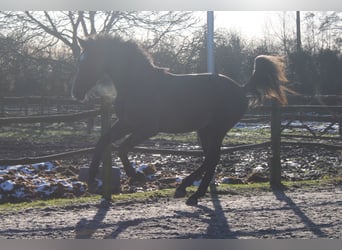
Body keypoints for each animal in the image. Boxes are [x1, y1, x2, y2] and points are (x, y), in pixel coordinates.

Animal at [72, 34, 292, 205]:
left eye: (89, 61)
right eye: (80, 61)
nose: (76, 93)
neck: (138, 83)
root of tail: (240, 89)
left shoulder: (147, 128)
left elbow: (122, 148)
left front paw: (137, 176)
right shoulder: (127, 123)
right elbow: (103, 142)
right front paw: (92, 181)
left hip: (218, 129)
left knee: (212, 158)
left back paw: (189, 191)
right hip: (205, 130)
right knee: (210, 158)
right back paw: (189, 191)